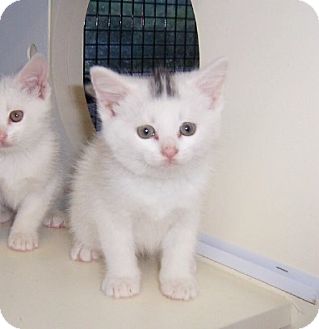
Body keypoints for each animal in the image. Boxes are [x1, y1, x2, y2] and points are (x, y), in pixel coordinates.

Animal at [0, 53, 65, 250]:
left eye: (16, 115)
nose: (1, 135)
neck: (9, 157)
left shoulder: (45, 180)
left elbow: (32, 209)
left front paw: (22, 235)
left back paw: (53, 214)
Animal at [71, 57, 229, 298]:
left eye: (188, 128)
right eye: (145, 131)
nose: (169, 151)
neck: (159, 184)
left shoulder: (189, 212)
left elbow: (180, 245)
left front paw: (178, 280)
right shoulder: (111, 209)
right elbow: (118, 246)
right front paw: (122, 279)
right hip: (81, 196)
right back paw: (85, 247)